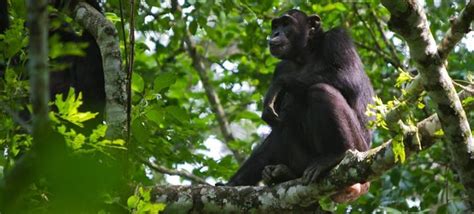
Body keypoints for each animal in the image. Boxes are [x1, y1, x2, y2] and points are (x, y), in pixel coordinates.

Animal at [222, 8, 374, 202]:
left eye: (286, 23)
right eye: (275, 25)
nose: (275, 34)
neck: (305, 54)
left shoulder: (338, 38)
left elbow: (348, 76)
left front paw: (278, 85)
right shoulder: (281, 66)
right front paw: (232, 183)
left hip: (360, 150)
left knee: (320, 91)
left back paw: (335, 156)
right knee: (282, 125)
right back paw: (285, 173)